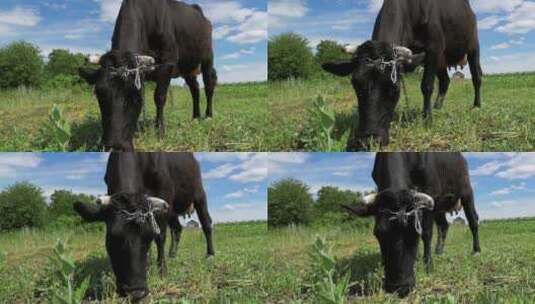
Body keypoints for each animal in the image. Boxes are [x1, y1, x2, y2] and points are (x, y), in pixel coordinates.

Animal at [74, 153, 216, 300]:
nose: (136, 292)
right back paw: (172, 254)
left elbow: (160, 236)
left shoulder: (165, 193)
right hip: (173, 210)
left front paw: (162, 271)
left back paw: (210, 254)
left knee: (206, 223)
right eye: (113, 238)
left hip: (199, 194)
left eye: (148, 238)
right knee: (177, 228)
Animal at [78, 0, 217, 151]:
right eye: (99, 95)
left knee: (208, 85)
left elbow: (159, 97)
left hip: (207, 57)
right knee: (195, 89)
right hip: (187, 67)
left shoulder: (167, 64)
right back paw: (195, 118)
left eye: (136, 97)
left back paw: (208, 117)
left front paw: (160, 131)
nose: (115, 145)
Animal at [324, 0, 484, 150]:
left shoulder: (434, 47)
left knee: (477, 77)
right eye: (355, 84)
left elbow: (426, 85)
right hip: (442, 61)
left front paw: (427, 120)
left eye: (394, 88)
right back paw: (437, 107)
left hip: (473, 46)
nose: (368, 140)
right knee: (445, 81)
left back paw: (476, 106)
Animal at [346, 153, 484, 296]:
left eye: (415, 234)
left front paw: (428, 265)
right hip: (440, 207)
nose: (399, 288)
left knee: (473, 221)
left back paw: (476, 250)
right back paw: (439, 251)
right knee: (444, 225)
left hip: (466, 191)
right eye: (378, 233)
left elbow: (427, 233)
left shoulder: (431, 194)